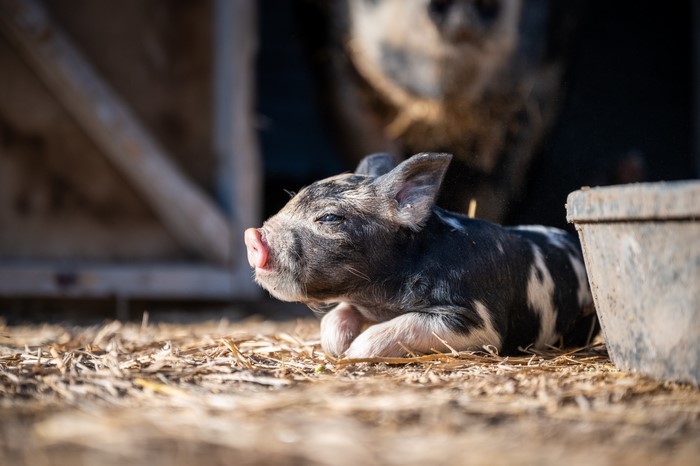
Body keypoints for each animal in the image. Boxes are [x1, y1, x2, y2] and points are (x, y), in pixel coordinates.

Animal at [244, 153, 598, 358]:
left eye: (330, 217)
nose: (252, 236)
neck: (383, 298)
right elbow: (336, 315)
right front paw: (336, 349)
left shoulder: (480, 322)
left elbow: (403, 326)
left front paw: (353, 354)